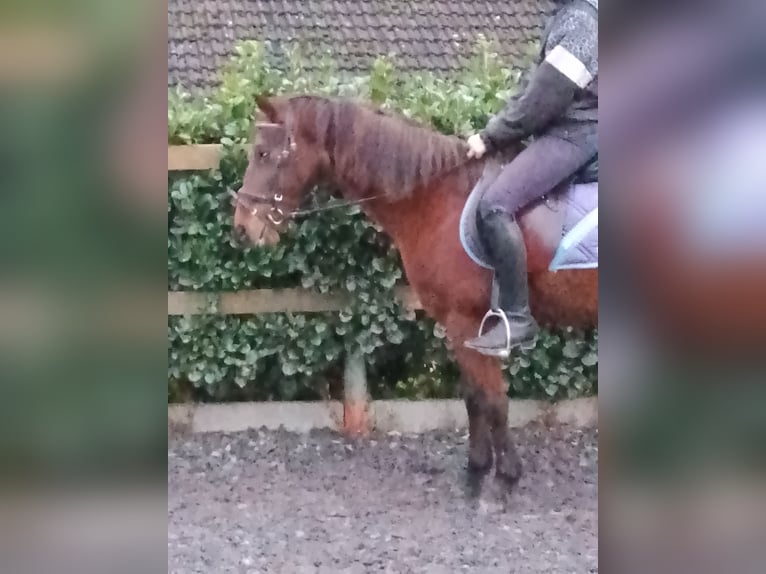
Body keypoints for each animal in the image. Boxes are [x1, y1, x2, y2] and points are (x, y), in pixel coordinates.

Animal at [234, 95, 600, 490]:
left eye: (262, 153)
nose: (242, 228)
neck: (438, 197)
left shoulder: (465, 320)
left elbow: (493, 399)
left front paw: (504, 477)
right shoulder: (462, 327)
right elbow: (474, 397)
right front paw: (477, 468)